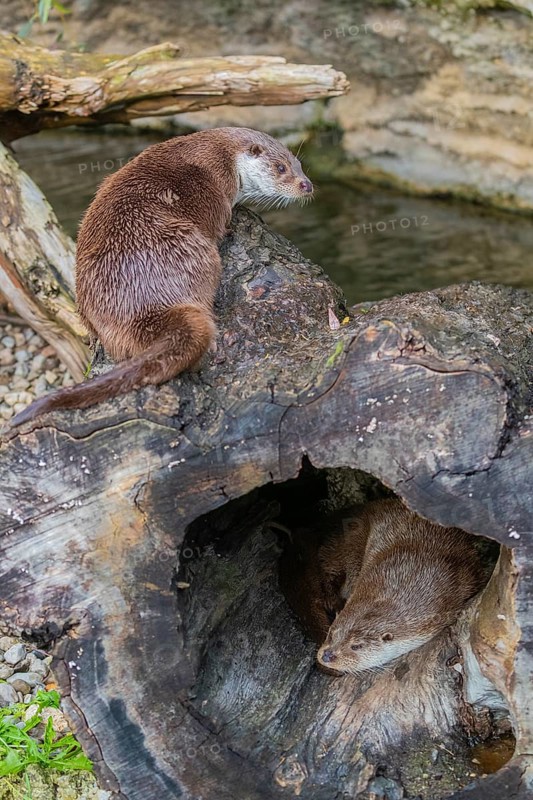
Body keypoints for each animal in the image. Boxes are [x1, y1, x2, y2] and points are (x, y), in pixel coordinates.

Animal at [10, 128, 313, 427]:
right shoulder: (222, 182)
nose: (307, 185)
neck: (225, 155)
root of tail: (143, 305)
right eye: (281, 167)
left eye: (299, 165)